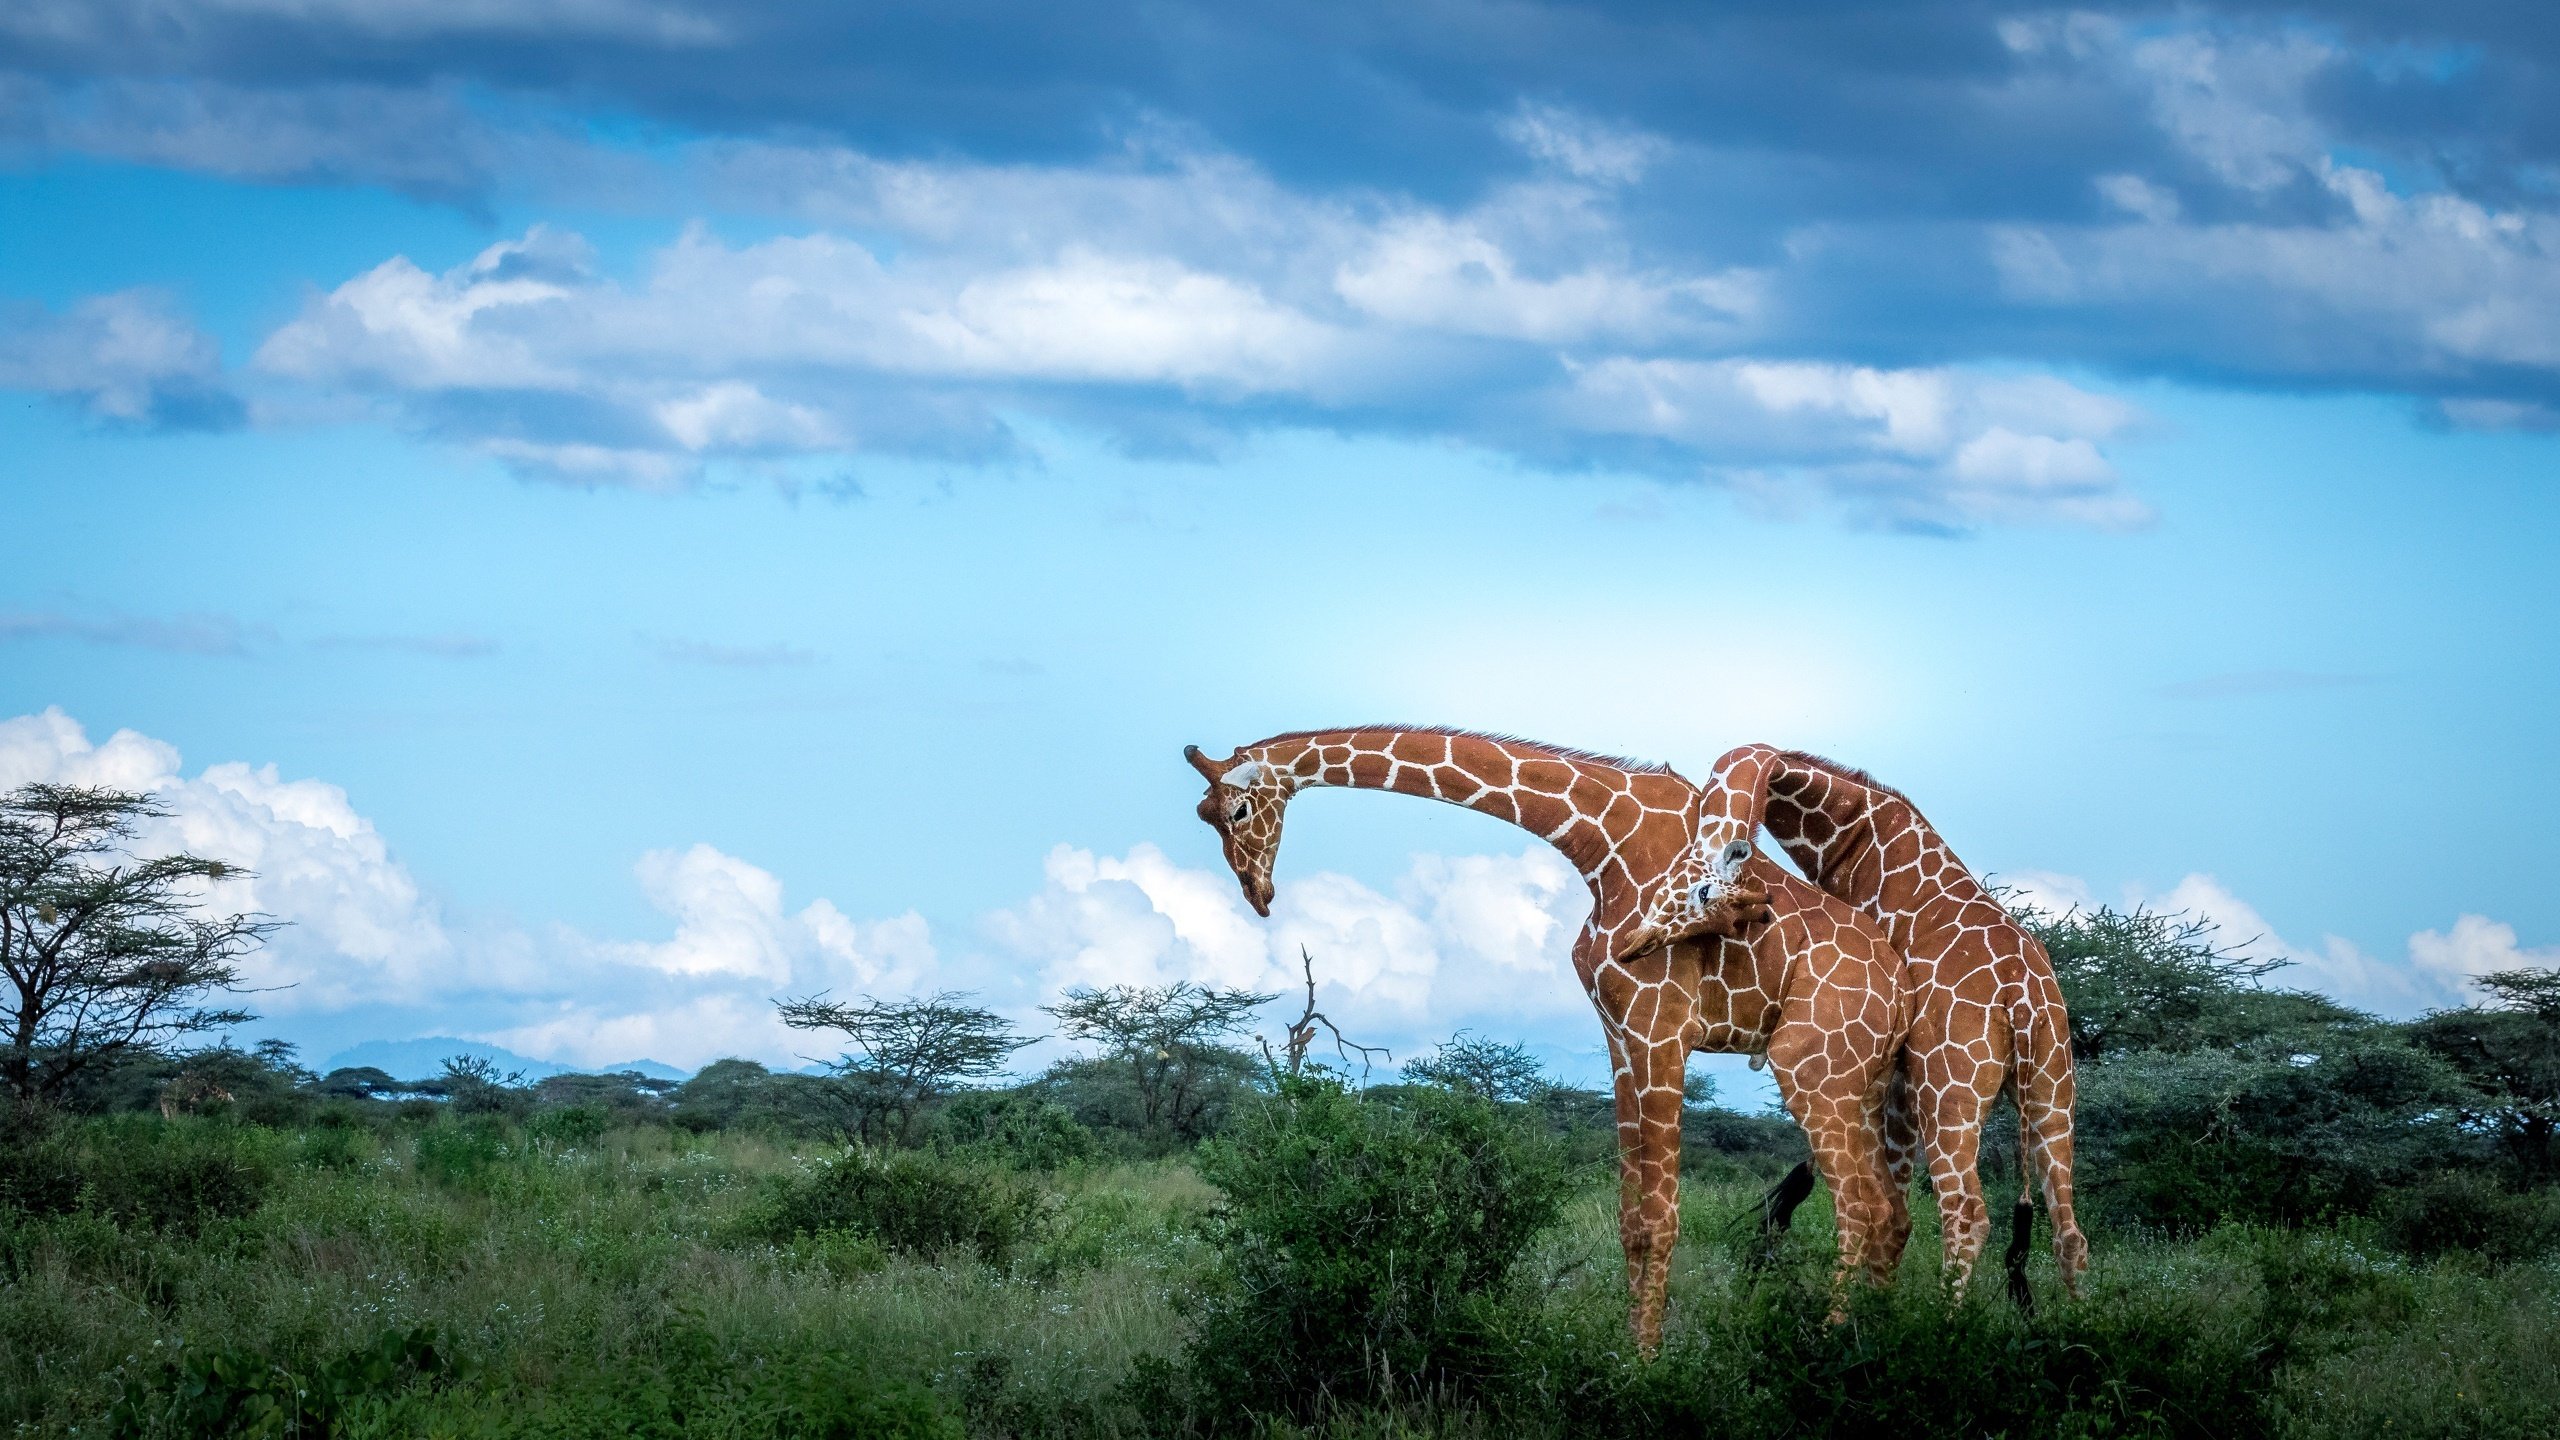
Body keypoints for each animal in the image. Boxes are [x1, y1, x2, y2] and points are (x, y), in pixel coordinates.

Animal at [1177, 727, 1904, 1342]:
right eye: (1203, 817)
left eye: (1237, 811)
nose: (1257, 893)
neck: (1601, 841)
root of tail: (1902, 993)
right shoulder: (1619, 1035)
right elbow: (1632, 1220)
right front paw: (1625, 1354)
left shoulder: (1660, 1027)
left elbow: (1663, 1219)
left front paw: (1647, 1371)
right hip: (1860, 1081)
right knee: (1893, 1211)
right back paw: (1885, 1333)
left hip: (1811, 1063)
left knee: (1861, 1207)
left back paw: (1835, 1345)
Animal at [1628, 743, 2088, 1296]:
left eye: (1699, 892)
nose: (1638, 942)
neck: (1858, 841)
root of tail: (2022, 998)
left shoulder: (1895, 1071)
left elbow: (1889, 1194)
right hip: (2052, 1086)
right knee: (2068, 1230)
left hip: (1950, 1089)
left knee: (1966, 1214)